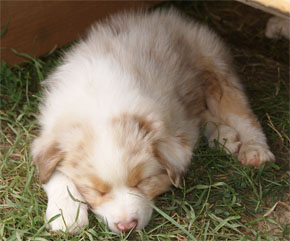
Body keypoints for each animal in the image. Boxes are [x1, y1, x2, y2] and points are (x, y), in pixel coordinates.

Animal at [31, 8, 274, 233]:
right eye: (97, 190)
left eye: (142, 182)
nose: (126, 227)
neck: (100, 100)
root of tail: (166, 16)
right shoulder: (51, 132)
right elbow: (54, 175)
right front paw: (65, 215)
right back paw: (224, 136)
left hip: (214, 67)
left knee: (242, 114)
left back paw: (254, 150)